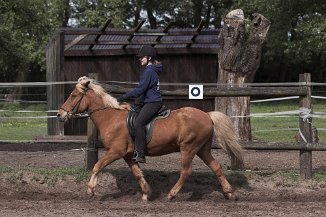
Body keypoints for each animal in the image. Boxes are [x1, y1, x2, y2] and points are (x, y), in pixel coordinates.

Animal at [57, 76, 243, 202]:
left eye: (74, 95)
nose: (60, 115)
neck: (110, 117)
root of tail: (207, 115)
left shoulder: (115, 151)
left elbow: (97, 166)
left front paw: (90, 190)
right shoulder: (128, 155)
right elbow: (137, 174)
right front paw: (147, 193)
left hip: (188, 148)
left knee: (186, 171)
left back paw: (172, 194)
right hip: (202, 149)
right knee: (216, 167)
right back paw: (230, 193)